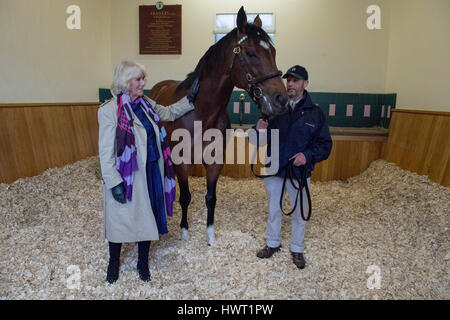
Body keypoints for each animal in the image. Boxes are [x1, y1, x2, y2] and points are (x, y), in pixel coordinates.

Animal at [149, 6, 290, 245]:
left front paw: (210, 235)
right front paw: (185, 231)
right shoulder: (181, 163)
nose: (281, 99)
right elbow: (185, 196)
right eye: (251, 53)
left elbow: (211, 197)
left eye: (273, 51)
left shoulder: (215, 163)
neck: (201, 113)